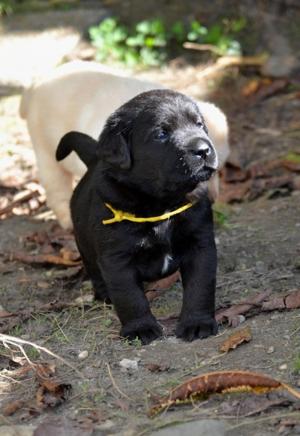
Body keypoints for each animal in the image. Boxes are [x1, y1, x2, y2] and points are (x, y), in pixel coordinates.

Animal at [56, 89, 218, 344]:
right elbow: (129, 296)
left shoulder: (200, 243)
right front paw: (141, 328)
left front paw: (197, 322)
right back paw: (104, 293)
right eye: (161, 134)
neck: (161, 204)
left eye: (199, 124)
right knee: (94, 269)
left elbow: (200, 286)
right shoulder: (116, 258)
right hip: (83, 243)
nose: (203, 150)